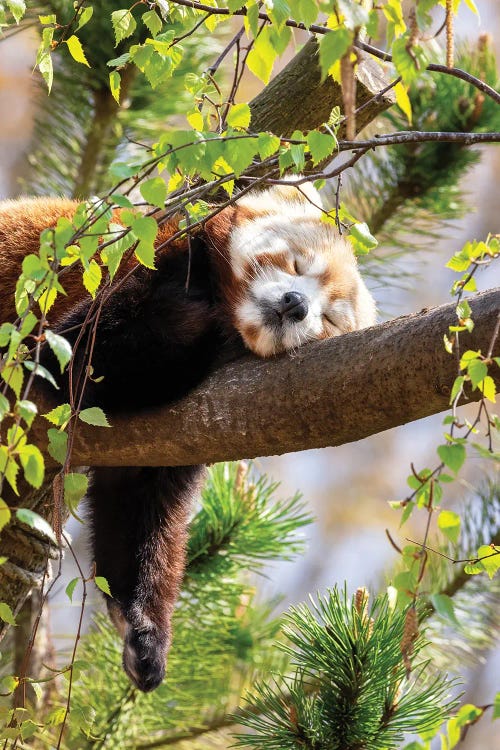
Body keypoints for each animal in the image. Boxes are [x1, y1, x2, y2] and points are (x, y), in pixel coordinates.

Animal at [0, 181, 376, 692]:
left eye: (331, 319)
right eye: (298, 265)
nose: (297, 305)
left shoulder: (168, 438)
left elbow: (139, 501)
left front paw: (143, 632)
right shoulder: (144, 258)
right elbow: (70, 358)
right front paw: (206, 326)